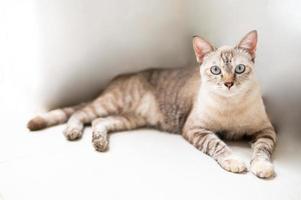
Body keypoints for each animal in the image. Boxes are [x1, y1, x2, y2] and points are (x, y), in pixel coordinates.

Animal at [27, 30, 276, 179]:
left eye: (239, 69)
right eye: (216, 70)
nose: (228, 84)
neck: (230, 104)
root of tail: (115, 79)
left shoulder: (266, 131)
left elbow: (262, 150)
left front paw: (262, 168)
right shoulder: (195, 128)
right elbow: (219, 145)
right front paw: (234, 161)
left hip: (129, 119)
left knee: (99, 121)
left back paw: (99, 142)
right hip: (111, 103)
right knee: (79, 114)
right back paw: (73, 131)